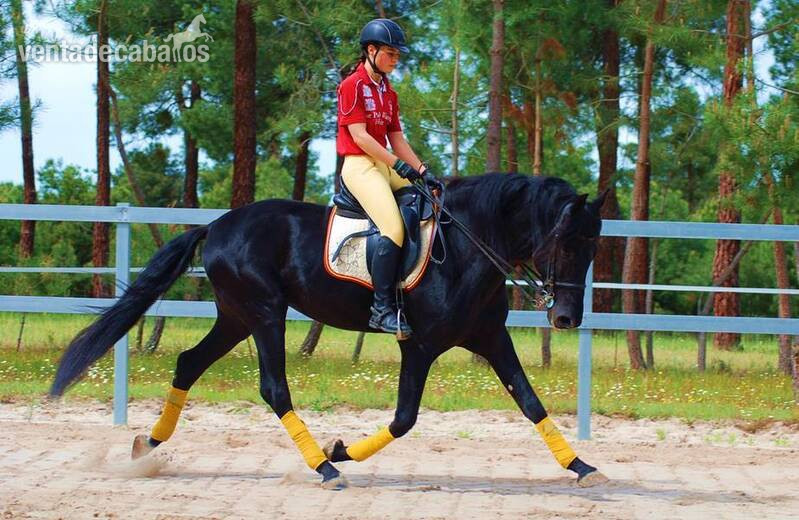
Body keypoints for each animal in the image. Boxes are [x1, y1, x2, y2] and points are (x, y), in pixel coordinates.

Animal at [50, 173, 608, 489]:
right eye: (565, 240)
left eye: (593, 247)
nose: (566, 318)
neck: (465, 246)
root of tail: (218, 226)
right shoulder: (421, 345)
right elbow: (405, 418)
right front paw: (341, 451)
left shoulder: (491, 339)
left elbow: (530, 402)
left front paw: (582, 466)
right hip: (265, 314)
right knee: (274, 388)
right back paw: (324, 467)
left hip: (236, 317)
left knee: (188, 363)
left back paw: (146, 446)